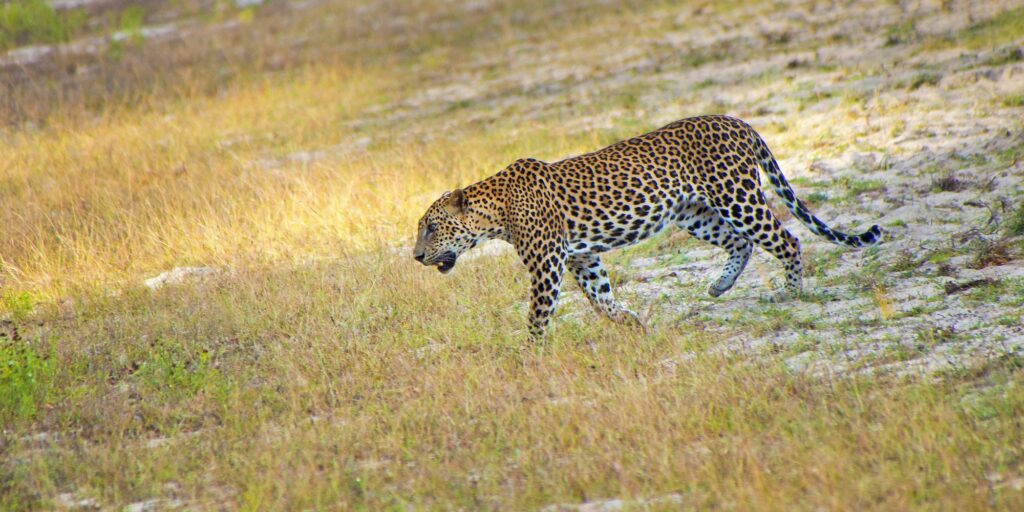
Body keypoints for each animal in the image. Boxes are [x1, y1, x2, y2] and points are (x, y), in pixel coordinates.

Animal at [413, 115, 881, 339]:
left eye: (431, 229)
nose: (416, 256)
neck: (495, 213)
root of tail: (737, 121)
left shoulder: (547, 263)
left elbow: (537, 314)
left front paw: (530, 354)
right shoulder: (582, 257)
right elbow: (601, 299)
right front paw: (632, 324)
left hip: (736, 196)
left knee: (786, 238)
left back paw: (791, 293)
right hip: (694, 213)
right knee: (740, 243)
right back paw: (720, 286)